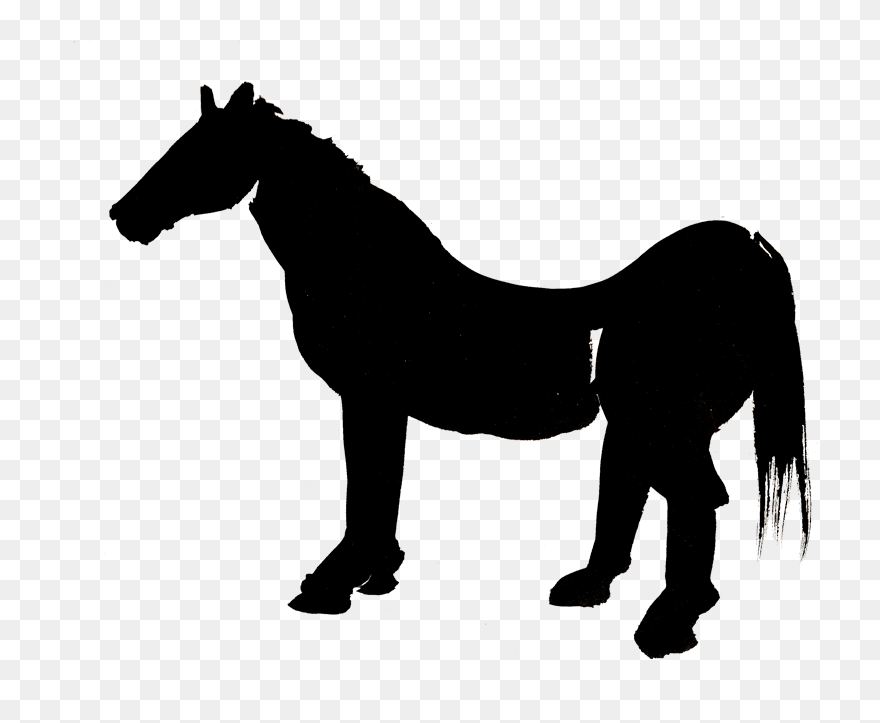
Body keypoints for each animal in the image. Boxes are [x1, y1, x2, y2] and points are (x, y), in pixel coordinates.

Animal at [109, 82, 811, 658]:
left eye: (202, 152)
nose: (124, 216)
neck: (369, 274)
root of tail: (745, 260)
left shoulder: (366, 399)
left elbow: (366, 485)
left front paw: (332, 583)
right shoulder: (383, 406)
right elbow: (382, 483)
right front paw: (378, 572)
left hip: (663, 424)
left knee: (694, 498)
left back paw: (666, 625)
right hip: (641, 424)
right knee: (636, 490)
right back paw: (591, 588)